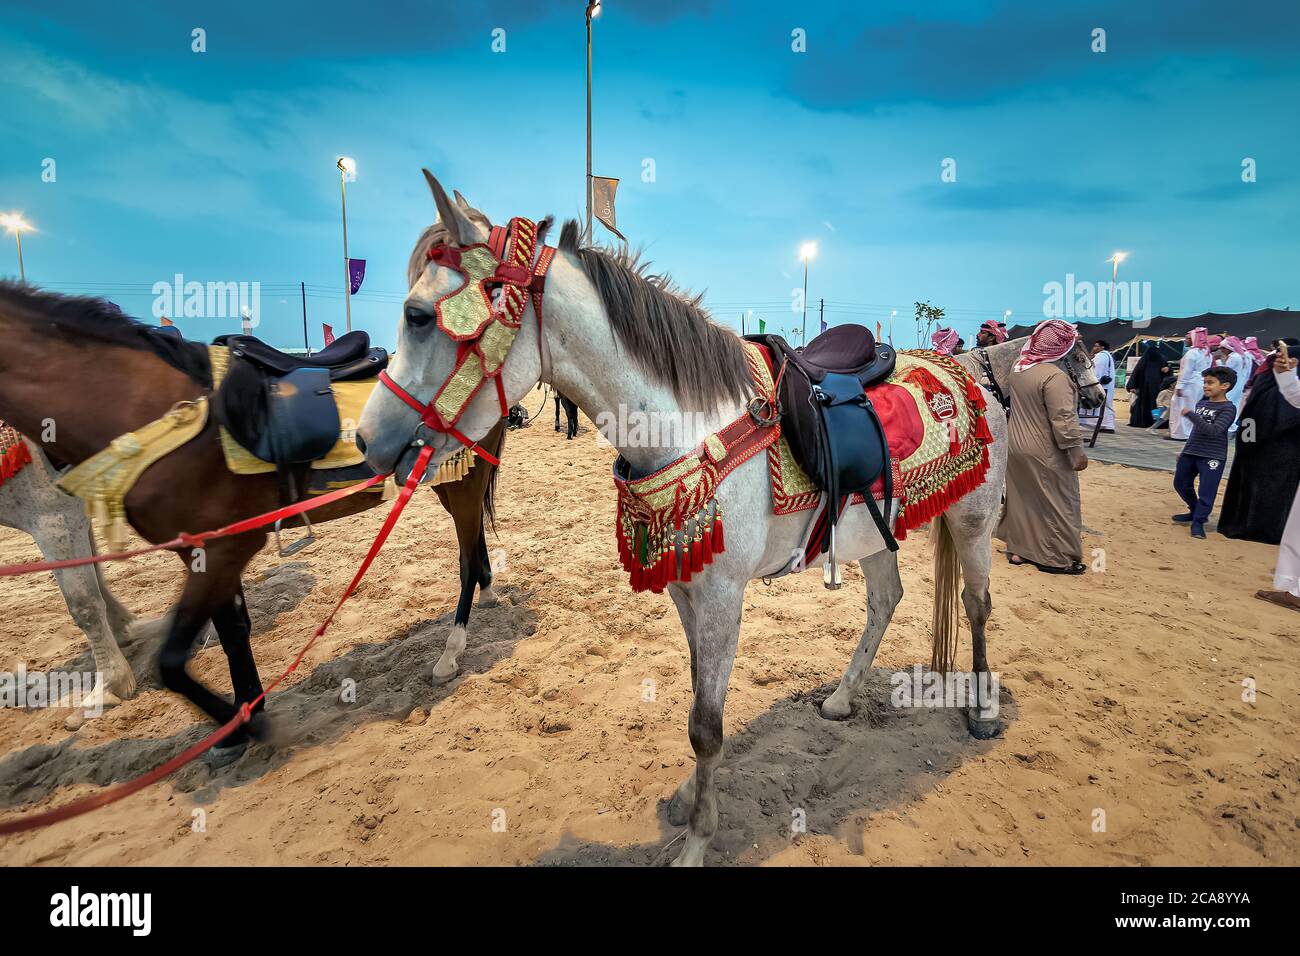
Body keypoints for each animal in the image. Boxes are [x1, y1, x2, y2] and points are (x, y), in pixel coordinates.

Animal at [0, 281, 505, 762]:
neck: (143, 407)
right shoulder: (204, 549)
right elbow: (231, 632)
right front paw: (245, 716)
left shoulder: (224, 546)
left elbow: (170, 661)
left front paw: (248, 727)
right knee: (474, 543)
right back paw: (487, 591)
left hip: (461, 480)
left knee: (464, 559)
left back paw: (451, 652)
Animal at [356, 171, 1105, 865]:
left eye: (418, 315)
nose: (367, 439)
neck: (687, 423)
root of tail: (979, 366)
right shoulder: (689, 589)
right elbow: (698, 706)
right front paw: (693, 797)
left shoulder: (721, 594)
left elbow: (707, 725)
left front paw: (696, 841)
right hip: (873, 528)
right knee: (887, 599)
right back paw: (841, 699)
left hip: (974, 519)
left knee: (977, 606)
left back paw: (981, 712)